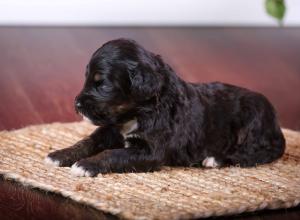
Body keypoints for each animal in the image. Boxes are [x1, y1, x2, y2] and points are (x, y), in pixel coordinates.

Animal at [45, 38, 286, 177]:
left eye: (102, 84)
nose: (76, 104)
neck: (137, 112)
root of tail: (276, 124)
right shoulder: (110, 129)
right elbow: (88, 141)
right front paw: (60, 155)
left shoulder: (151, 151)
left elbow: (113, 153)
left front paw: (86, 165)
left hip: (252, 124)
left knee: (251, 155)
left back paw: (215, 159)